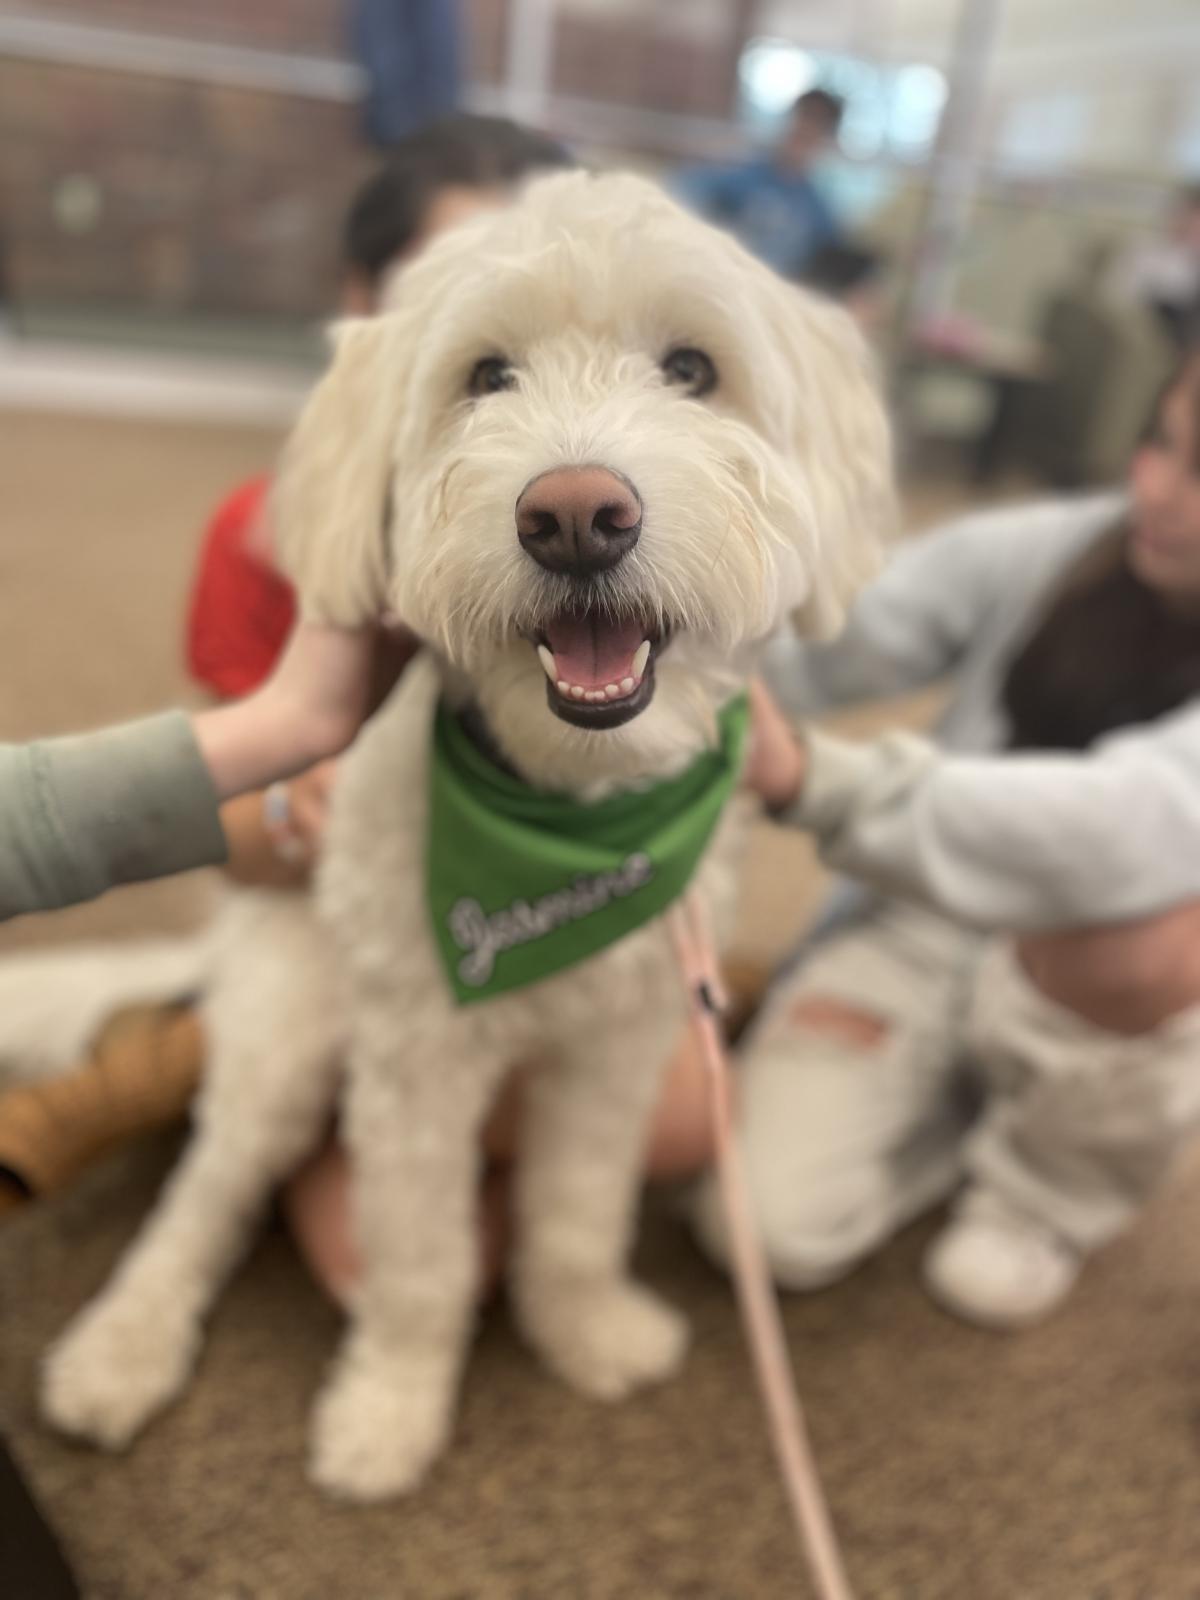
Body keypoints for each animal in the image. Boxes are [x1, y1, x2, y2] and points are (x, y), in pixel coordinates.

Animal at [40, 168, 896, 1491]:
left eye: (692, 368)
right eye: (487, 375)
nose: (578, 513)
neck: (572, 817)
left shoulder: (617, 1045)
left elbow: (576, 1210)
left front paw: (585, 1327)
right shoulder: (417, 1066)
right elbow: (420, 1257)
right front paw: (390, 1410)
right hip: (294, 1040)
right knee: (203, 1196)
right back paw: (120, 1351)